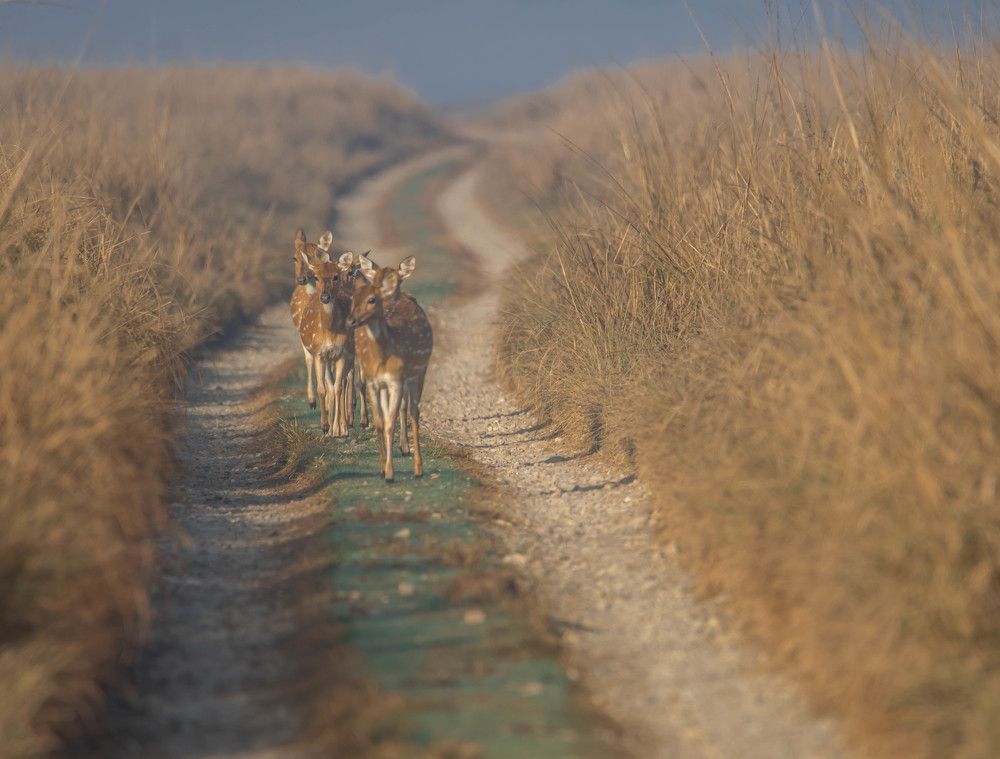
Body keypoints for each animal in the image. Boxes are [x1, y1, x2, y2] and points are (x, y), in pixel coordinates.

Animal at [296, 247, 357, 437]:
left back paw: (341, 425)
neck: (329, 333)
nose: (325, 297)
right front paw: (324, 426)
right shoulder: (319, 353)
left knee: (342, 383)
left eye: (336, 276)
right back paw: (331, 426)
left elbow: (338, 388)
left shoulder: (342, 354)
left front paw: (341, 429)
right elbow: (322, 389)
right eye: (316, 277)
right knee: (330, 386)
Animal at [347, 255, 432, 481]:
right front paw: (384, 467)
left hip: (419, 372)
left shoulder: (397, 380)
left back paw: (418, 467)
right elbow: (381, 422)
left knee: (413, 413)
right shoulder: (375, 383)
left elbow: (392, 420)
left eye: (396, 279)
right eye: (375, 278)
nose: (352, 320)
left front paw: (391, 470)